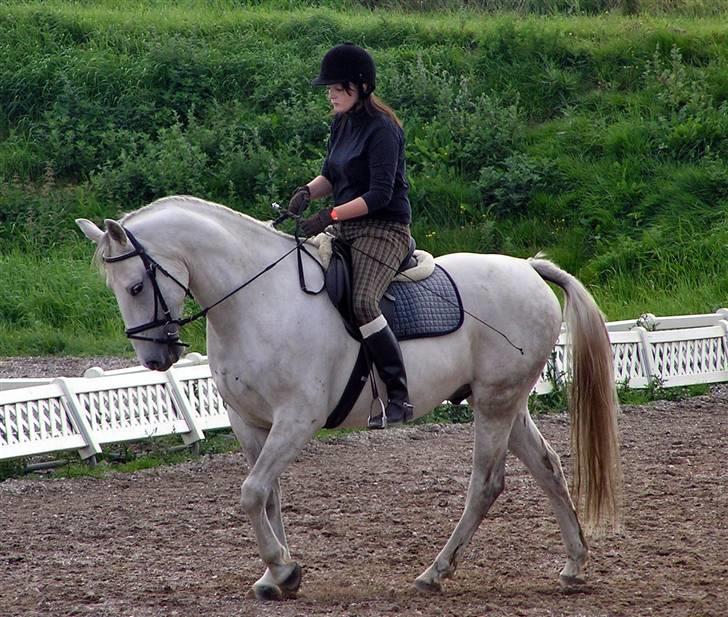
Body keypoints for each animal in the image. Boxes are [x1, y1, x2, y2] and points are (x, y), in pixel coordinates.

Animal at [79, 199, 624, 600]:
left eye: (135, 285)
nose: (155, 358)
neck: (255, 301)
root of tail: (529, 270)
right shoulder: (248, 421)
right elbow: (267, 496)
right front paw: (277, 576)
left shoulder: (297, 419)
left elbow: (251, 493)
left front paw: (281, 569)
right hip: (504, 402)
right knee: (548, 467)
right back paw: (573, 565)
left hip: (494, 403)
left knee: (486, 484)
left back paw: (435, 572)